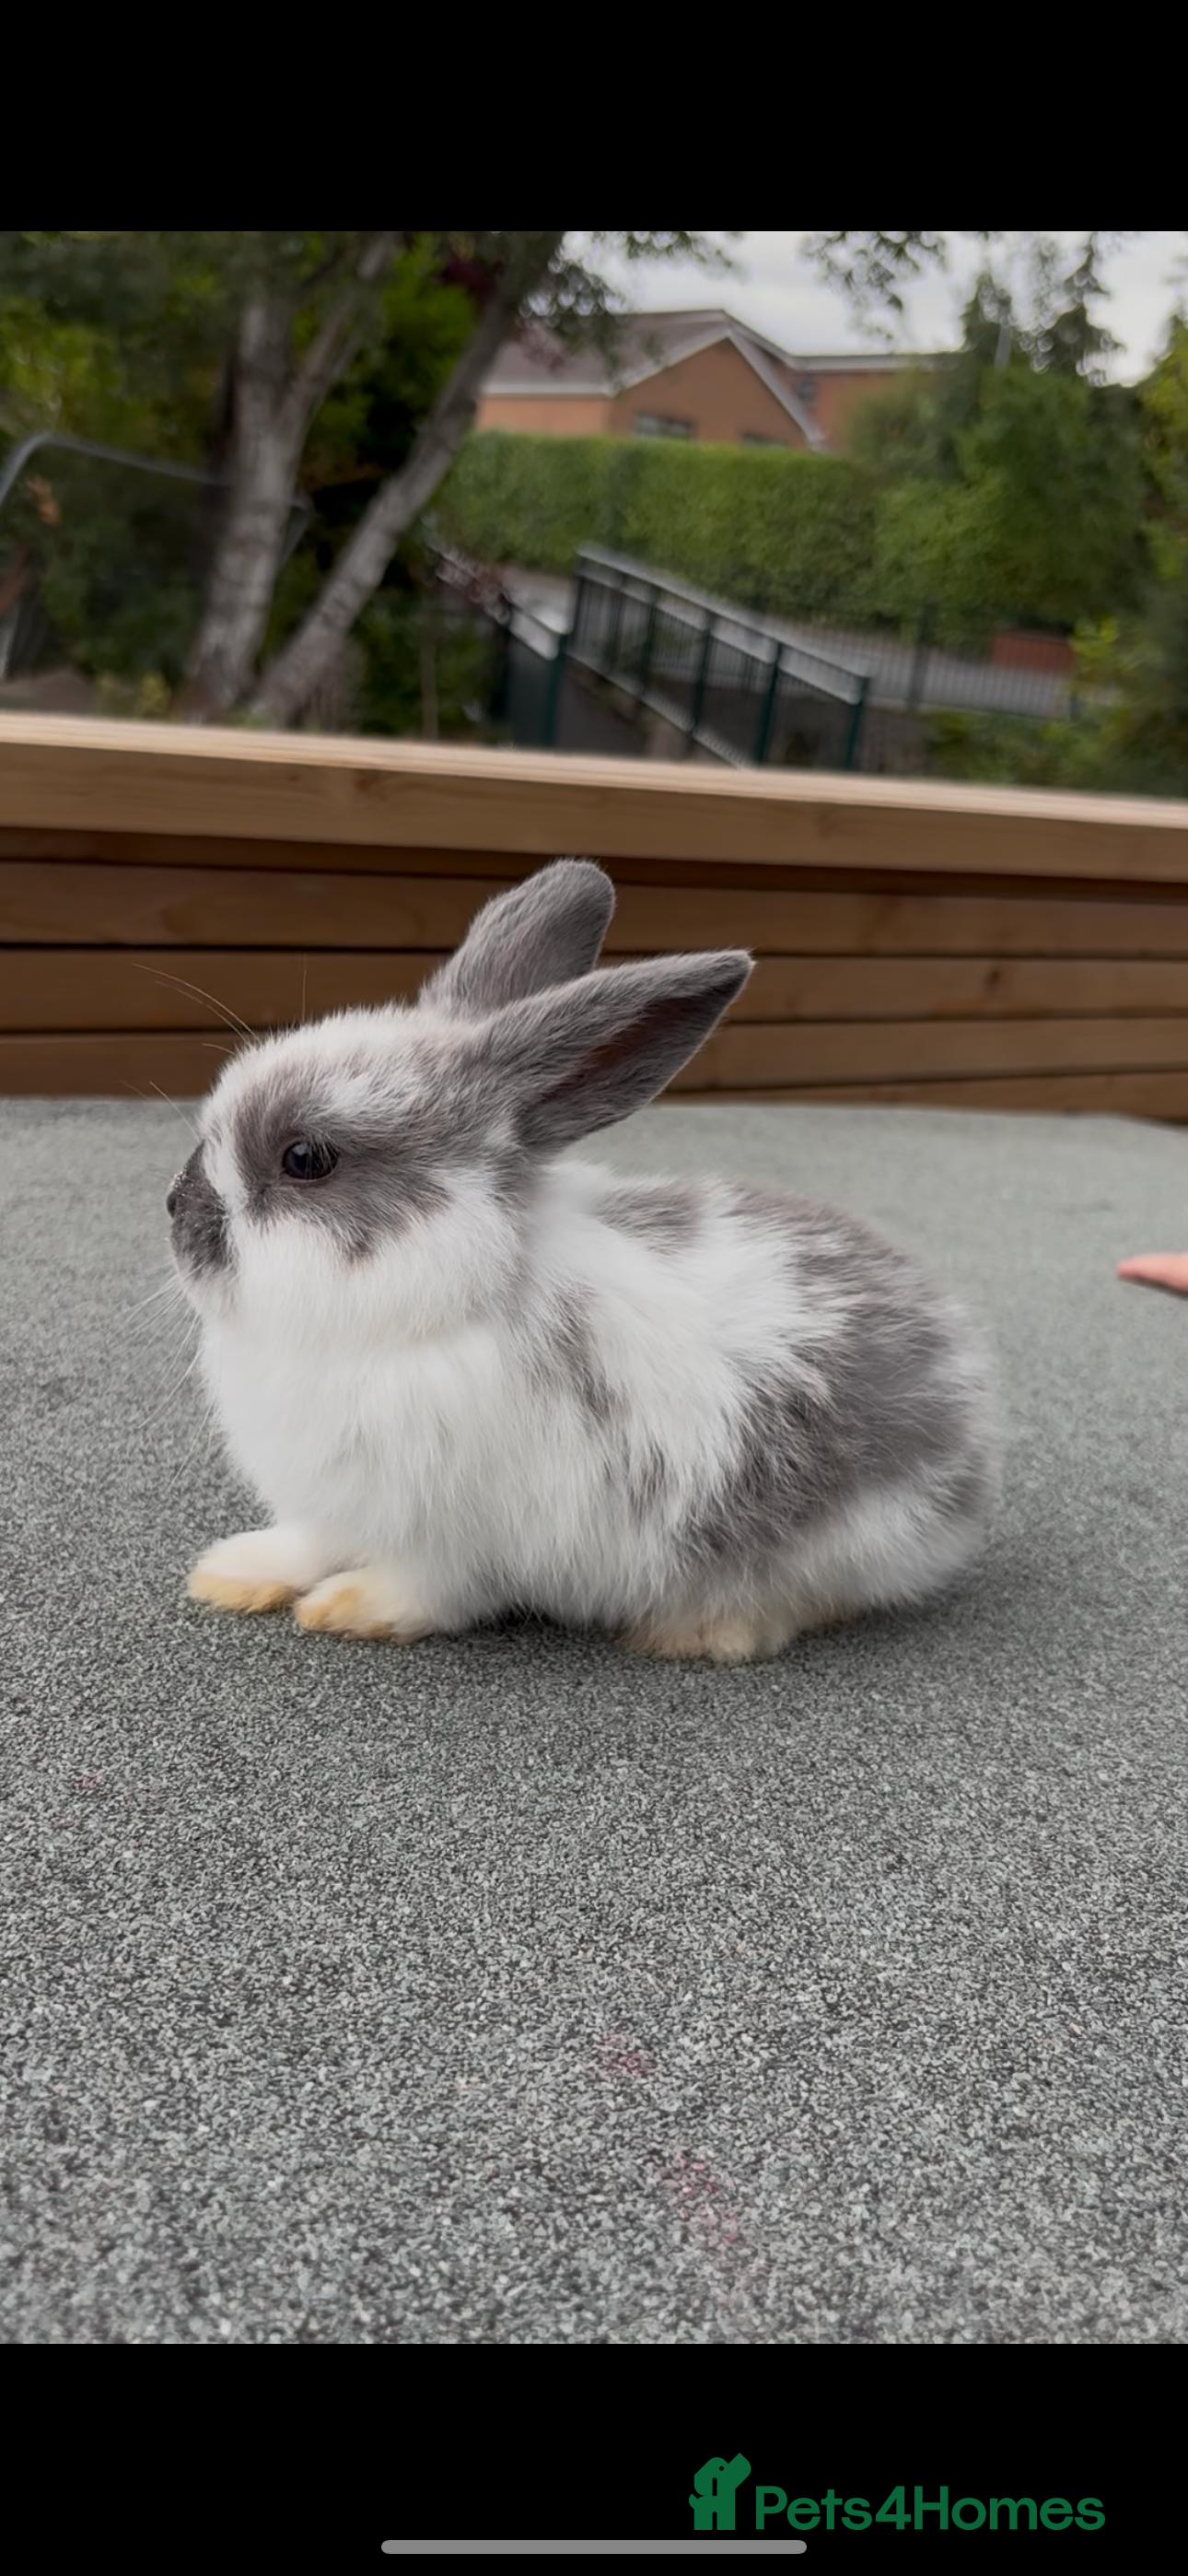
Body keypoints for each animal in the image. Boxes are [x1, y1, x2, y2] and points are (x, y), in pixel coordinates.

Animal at [167, 856, 1000, 1663]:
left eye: (306, 1159)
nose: (175, 1211)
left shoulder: (463, 1536)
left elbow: (431, 1588)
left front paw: (350, 1609)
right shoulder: (329, 1503)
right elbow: (307, 1543)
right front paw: (231, 1573)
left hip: (840, 1535)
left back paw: (705, 1633)